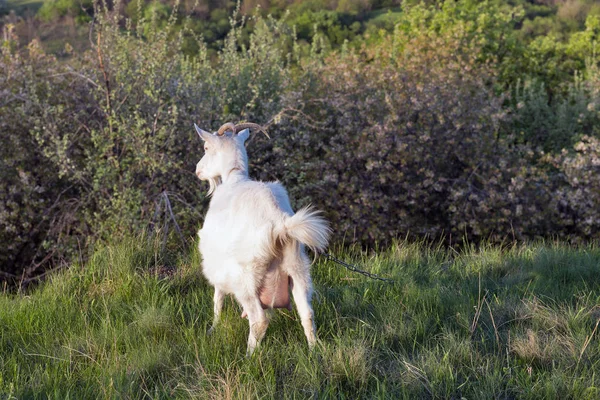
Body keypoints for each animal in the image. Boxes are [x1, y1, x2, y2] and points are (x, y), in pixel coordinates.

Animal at [196, 120, 328, 354]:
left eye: (206, 147)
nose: (197, 170)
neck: (234, 176)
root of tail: (279, 222)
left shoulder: (218, 265)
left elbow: (217, 298)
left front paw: (213, 328)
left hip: (246, 277)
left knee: (259, 320)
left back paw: (248, 356)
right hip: (298, 268)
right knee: (307, 313)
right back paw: (313, 350)